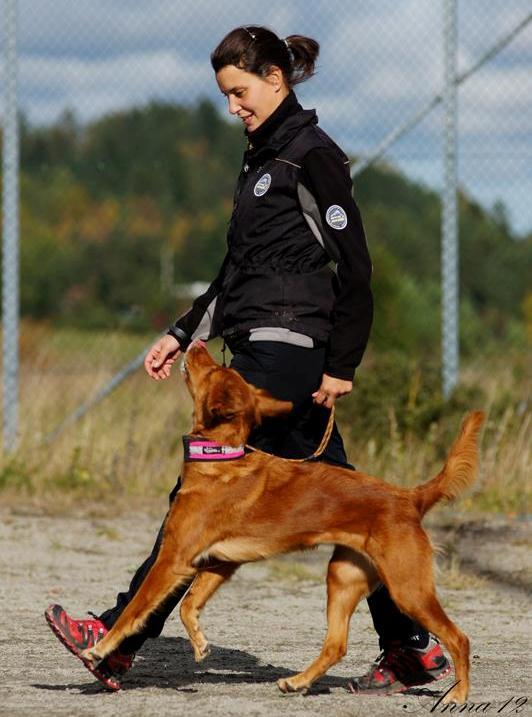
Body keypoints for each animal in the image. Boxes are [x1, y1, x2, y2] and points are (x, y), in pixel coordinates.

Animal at [81, 338, 484, 704]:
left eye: (211, 371)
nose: (194, 342)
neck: (219, 457)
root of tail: (409, 498)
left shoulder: (173, 559)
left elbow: (136, 608)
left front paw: (100, 649)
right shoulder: (219, 562)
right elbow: (187, 605)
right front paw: (199, 644)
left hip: (407, 587)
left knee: (459, 638)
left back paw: (458, 694)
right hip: (344, 577)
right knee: (336, 645)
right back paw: (297, 682)